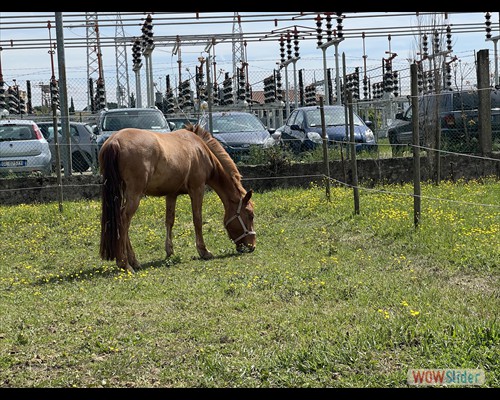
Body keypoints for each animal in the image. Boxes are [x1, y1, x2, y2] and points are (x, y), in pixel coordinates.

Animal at [97, 123, 256, 274]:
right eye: (250, 215)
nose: (252, 246)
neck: (199, 149)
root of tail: (114, 141)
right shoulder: (197, 189)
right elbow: (197, 219)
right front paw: (204, 251)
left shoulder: (171, 194)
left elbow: (169, 221)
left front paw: (170, 251)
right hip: (134, 195)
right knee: (124, 220)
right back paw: (124, 263)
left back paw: (133, 261)